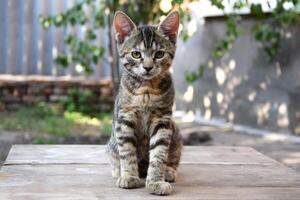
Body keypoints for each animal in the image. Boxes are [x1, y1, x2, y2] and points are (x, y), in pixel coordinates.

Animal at [106, 10, 182, 195]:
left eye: (159, 54)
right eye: (136, 54)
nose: (147, 67)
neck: (146, 91)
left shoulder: (162, 119)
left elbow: (159, 153)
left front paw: (156, 181)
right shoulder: (124, 118)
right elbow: (127, 150)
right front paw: (129, 176)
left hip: (175, 131)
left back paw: (168, 171)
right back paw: (119, 170)